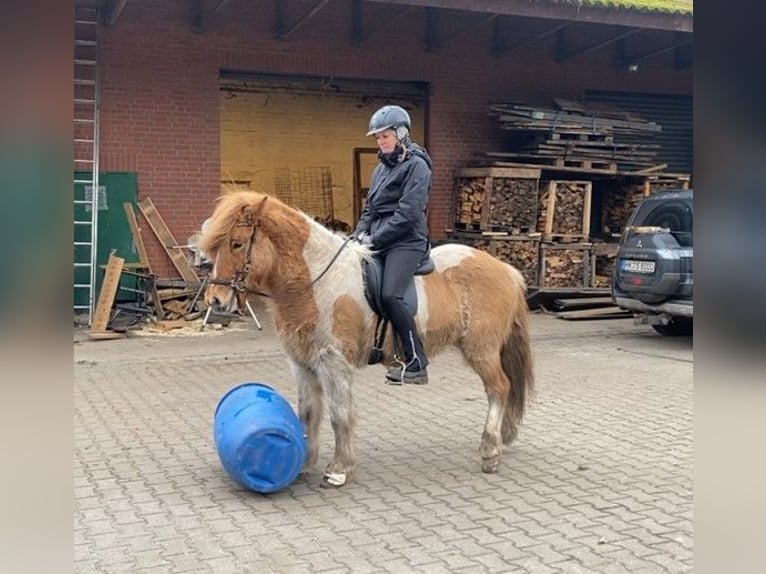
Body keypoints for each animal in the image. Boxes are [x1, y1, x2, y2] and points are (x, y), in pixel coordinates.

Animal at [200, 191, 536, 488]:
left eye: (236, 243)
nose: (215, 300)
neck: (316, 281)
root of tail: (506, 269)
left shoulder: (334, 364)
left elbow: (339, 415)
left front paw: (339, 470)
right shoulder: (302, 364)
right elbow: (307, 413)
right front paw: (305, 464)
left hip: (482, 350)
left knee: (499, 388)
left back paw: (490, 451)